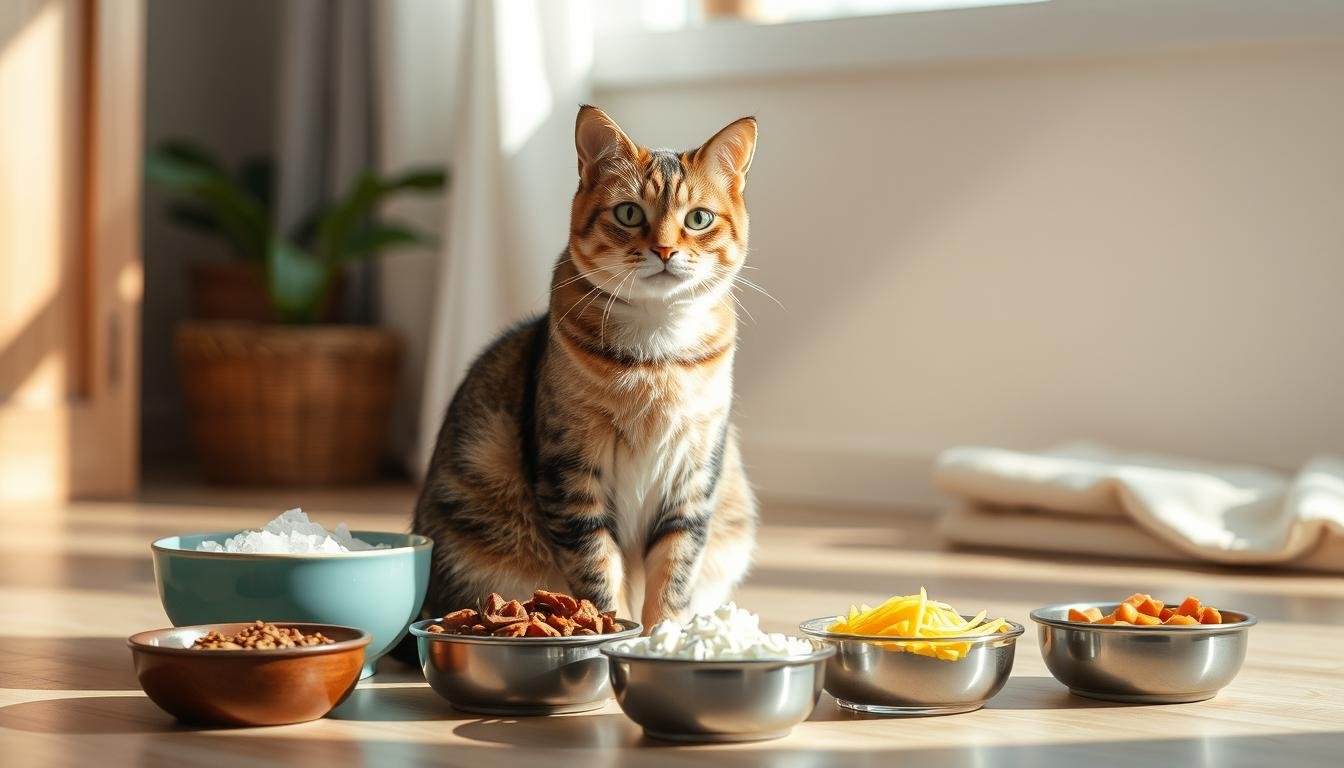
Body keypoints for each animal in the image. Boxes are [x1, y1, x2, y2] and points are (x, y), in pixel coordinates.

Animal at [411, 104, 758, 632]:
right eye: (629, 212)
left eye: (698, 218)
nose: (664, 251)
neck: (657, 359)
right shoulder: (571, 474)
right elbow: (598, 572)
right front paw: (612, 631)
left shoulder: (694, 476)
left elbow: (674, 573)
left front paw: (664, 636)